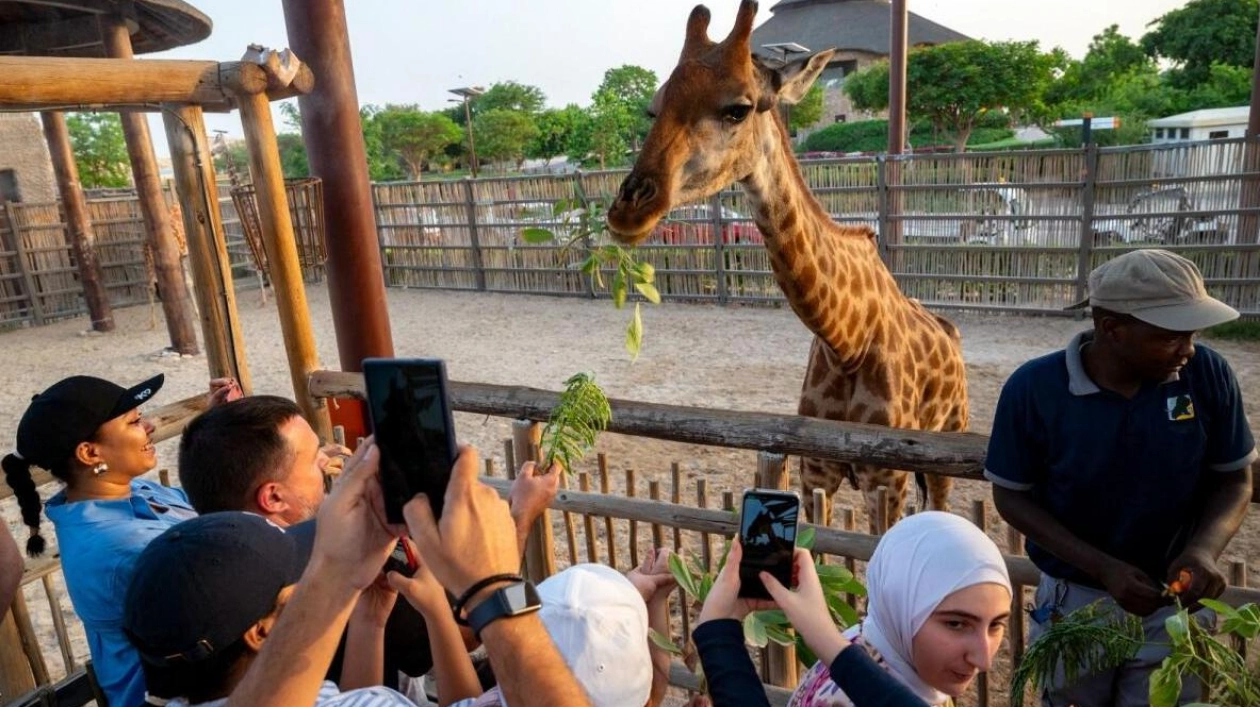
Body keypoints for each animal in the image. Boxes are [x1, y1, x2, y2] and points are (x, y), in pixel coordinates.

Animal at [604, 0, 967, 529]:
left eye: (737, 108)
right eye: (654, 108)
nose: (628, 211)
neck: (847, 339)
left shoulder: (886, 479)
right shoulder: (816, 470)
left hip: (946, 448)